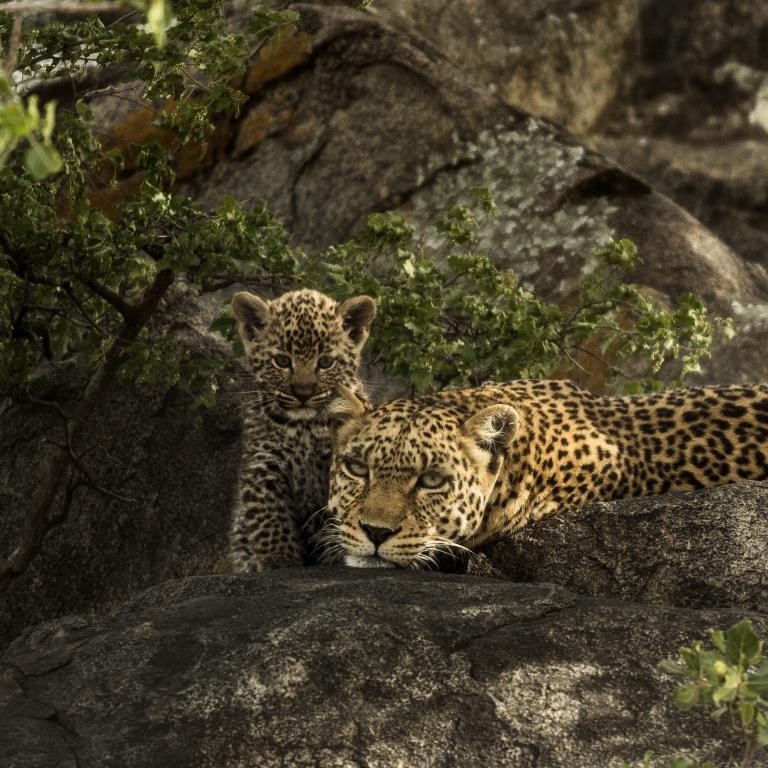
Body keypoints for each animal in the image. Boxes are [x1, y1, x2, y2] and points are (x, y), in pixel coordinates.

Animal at [229, 288, 376, 572]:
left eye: (326, 362)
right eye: (282, 361)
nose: (303, 393)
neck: (303, 428)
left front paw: (334, 558)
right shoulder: (264, 466)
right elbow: (269, 517)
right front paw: (278, 558)